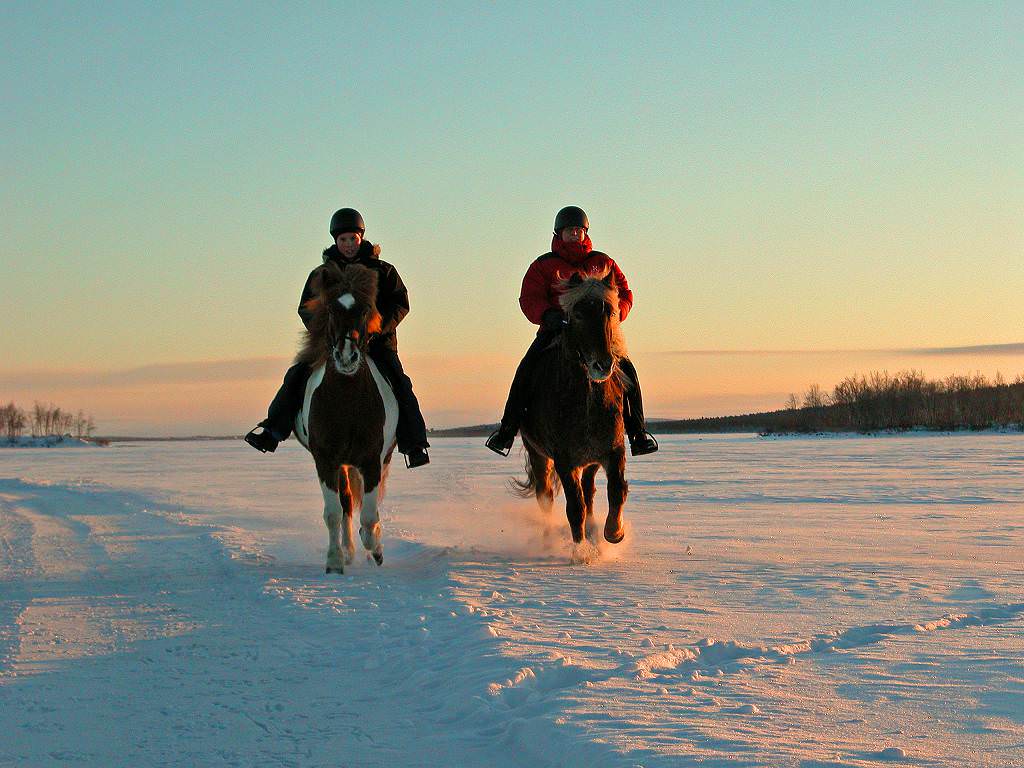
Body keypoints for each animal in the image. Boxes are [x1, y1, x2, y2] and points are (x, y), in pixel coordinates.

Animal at [294, 264, 397, 573]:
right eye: (330, 309)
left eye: (365, 310)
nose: (347, 356)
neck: (347, 400)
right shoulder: (326, 460)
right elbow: (334, 513)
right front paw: (335, 561)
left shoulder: (373, 460)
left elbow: (370, 514)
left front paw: (376, 550)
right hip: (342, 464)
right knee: (347, 503)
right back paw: (349, 550)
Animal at [516, 270, 626, 565]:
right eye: (577, 314)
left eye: (611, 312)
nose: (602, 364)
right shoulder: (565, 460)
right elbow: (574, 506)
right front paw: (581, 551)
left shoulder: (613, 451)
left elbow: (616, 491)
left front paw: (613, 533)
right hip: (539, 455)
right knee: (546, 497)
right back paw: (548, 541)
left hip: (589, 463)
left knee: (589, 493)